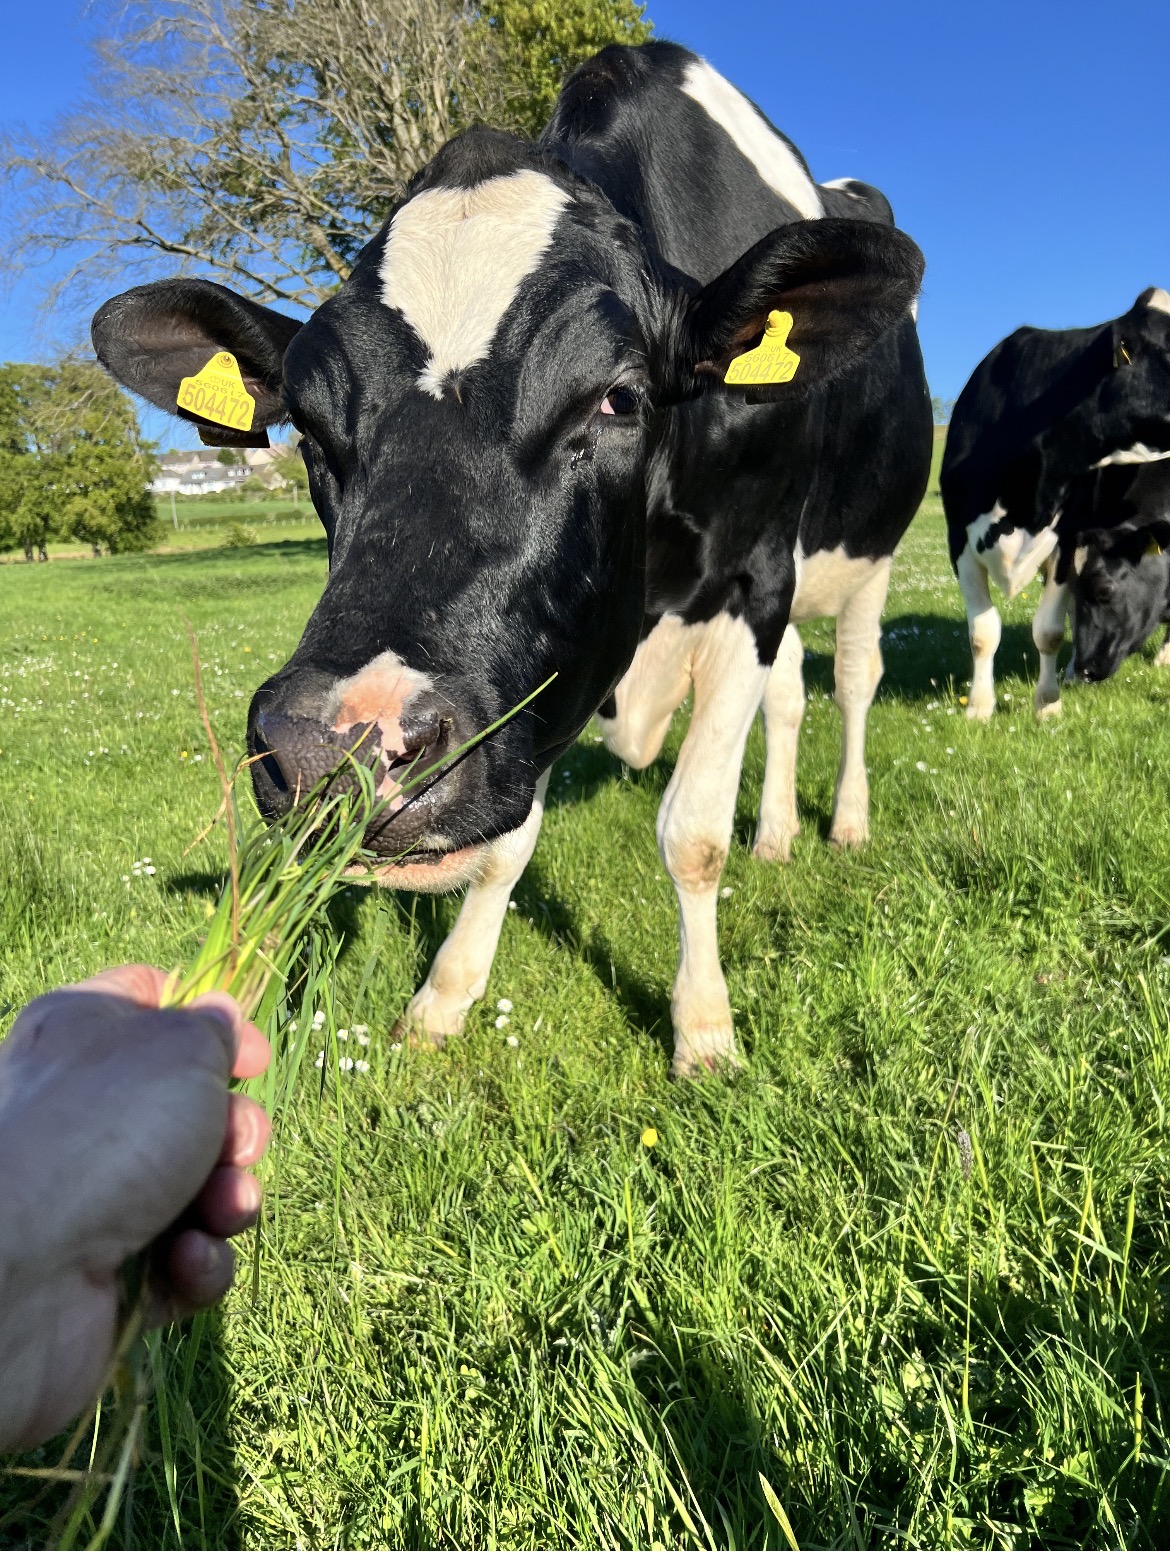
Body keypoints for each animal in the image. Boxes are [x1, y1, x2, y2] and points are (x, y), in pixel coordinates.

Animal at [90, 41, 929, 1077]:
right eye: (309, 429)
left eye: (618, 396)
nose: (336, 748)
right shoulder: (535, 679)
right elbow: (504, 838)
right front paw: (444, 997)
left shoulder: (753, 579)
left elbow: (692, 834)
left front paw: (704, 1032)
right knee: (791, 696)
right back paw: (775, 833)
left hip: (867, 557)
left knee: (850, 680)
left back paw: (843, 822)